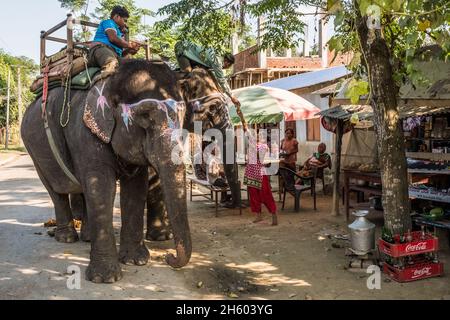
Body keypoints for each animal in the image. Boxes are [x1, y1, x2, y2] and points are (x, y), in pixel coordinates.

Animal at [21, 59, 190, 282]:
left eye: (183, 114)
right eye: (145, 116)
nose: (169, 257)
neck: (112, 79)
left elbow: (135, 188)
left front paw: (136, 261)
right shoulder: (85, 132)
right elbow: (101, 187)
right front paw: (106, 278)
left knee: (82, 189)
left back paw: (86, 237)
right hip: (34, 149)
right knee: (55, 190)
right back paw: (66, 238)